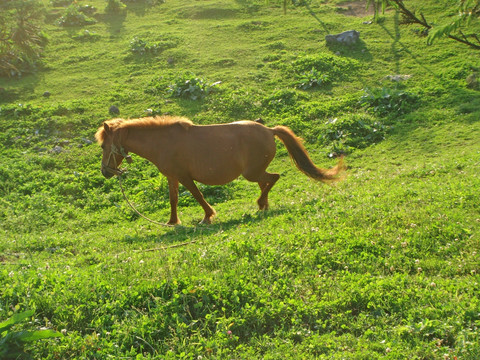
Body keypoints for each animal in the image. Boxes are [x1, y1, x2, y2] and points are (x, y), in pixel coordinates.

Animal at [94, 116, 344, 225]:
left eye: (103, 146)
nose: (106, 172)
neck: (163, 142)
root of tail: (269, 130)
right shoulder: (173, 177)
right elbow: (173, 199)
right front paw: (172, 221)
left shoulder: (184, 176)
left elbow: (197, 195)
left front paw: (207, 216)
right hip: (255, 172)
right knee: (267, 182)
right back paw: (263, 204)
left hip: (251, 173)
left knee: (273, 178)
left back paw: (261, 203)